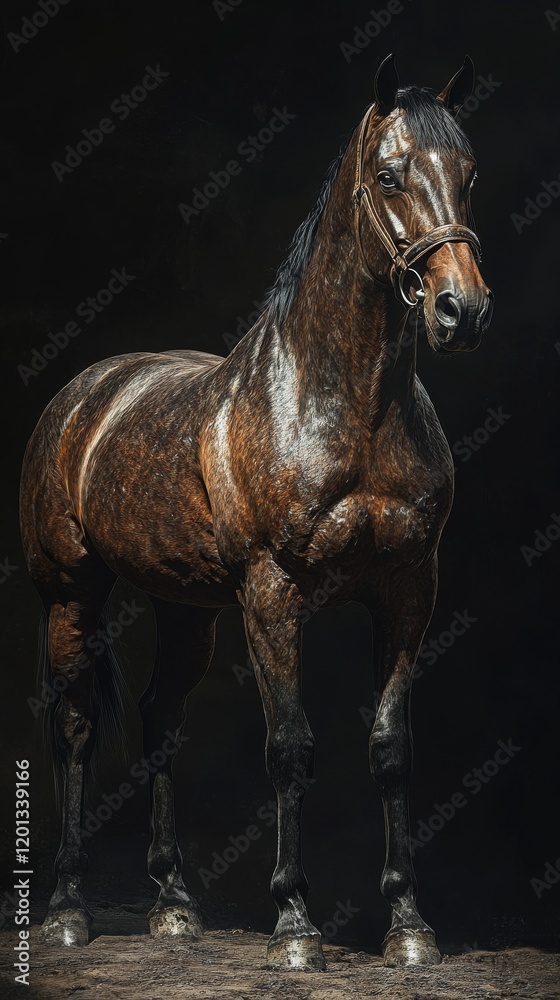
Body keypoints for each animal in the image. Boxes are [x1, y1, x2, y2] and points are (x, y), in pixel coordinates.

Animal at [20, 54, 493, 970]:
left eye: (468, 175)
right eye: (390, 174)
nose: (463, 310)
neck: (341, 406)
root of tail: (84, 396)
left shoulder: (408, 591)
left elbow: (390, 748)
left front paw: (409, 925)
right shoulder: (274, 596)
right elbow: (290, 748)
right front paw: (295, 926)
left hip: (186, 609)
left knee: (160, 719)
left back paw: (174, 906)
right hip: (70, 595)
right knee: (76, 727)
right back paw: (65, 911)